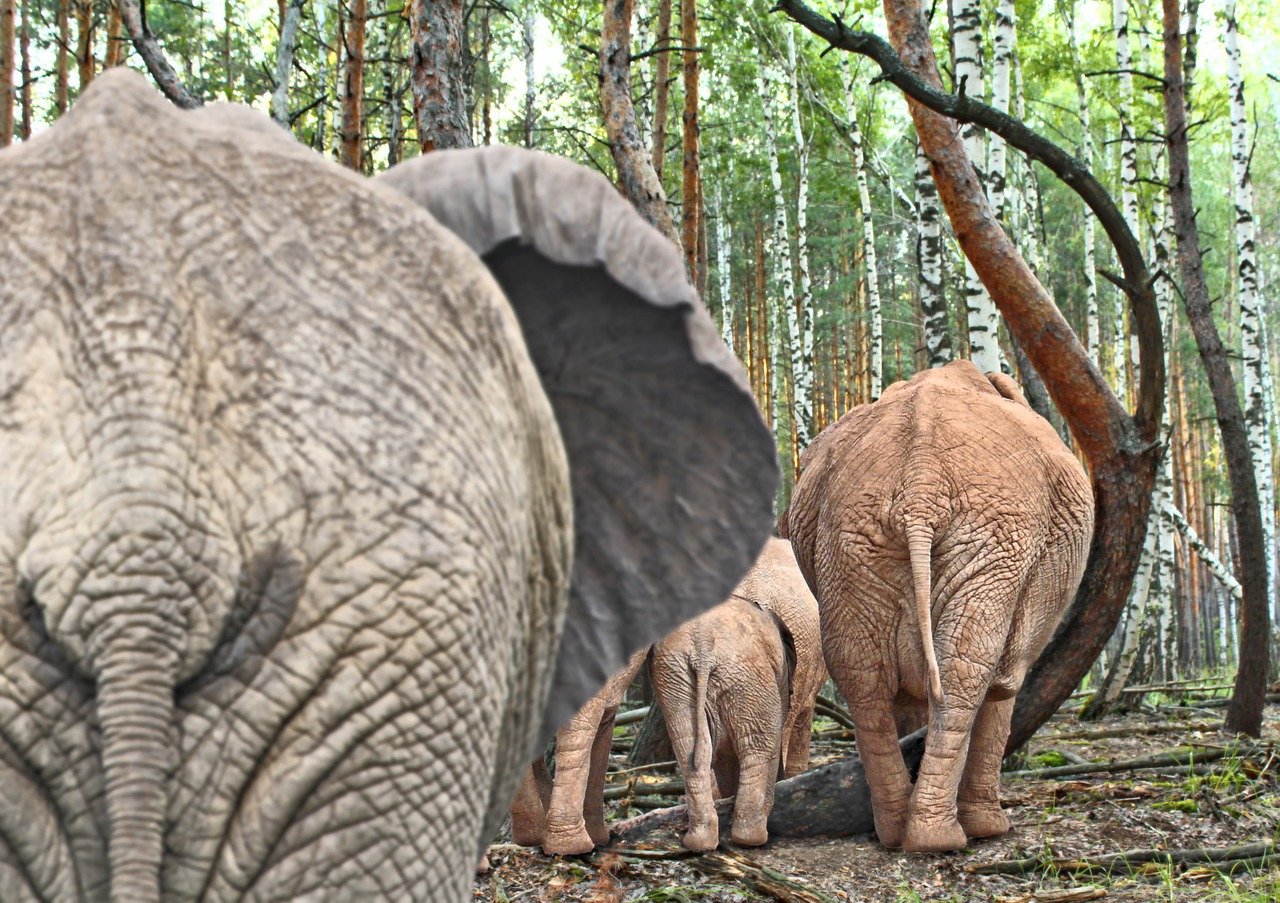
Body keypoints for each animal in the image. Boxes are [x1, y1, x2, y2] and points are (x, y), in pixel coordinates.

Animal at [650, 537, 819, 850]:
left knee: (690, 748)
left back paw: (700, 841)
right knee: (760, 745)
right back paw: (751, 837)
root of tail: (703, 648)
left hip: (677, 675)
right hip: (745, 673)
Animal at [783, 361, 1095, 850]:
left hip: (849, 537)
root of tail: (919, 485)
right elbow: (1003, 683)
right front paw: (991, 828)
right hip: (996, 537)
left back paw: (897, 833)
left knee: (862, 670)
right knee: (966, 666)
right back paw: (942, 838)